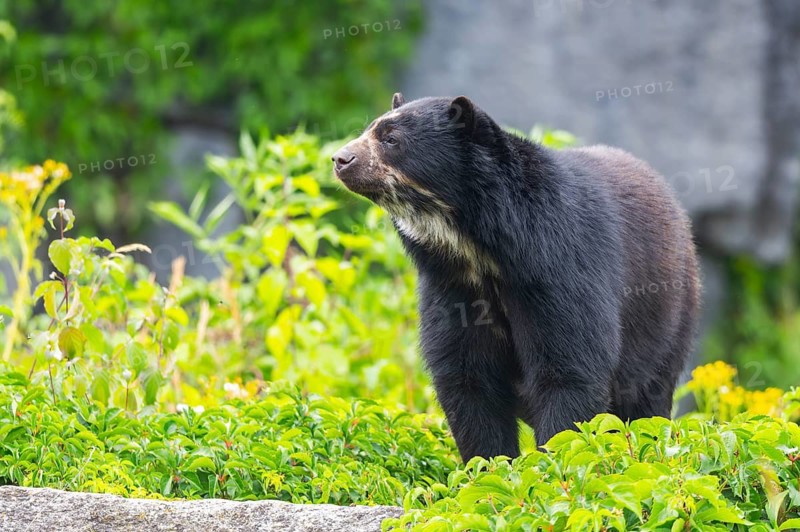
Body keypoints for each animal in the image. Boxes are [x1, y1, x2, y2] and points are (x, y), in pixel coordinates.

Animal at [332, 93, 700, 462]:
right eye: (370, 129)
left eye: (391, 139)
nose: (340, 158)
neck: (478, 249)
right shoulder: (450, 287)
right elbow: (467, 379)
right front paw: (489, 464)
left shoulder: (560, 266)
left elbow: (568, 368)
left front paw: (551, 459)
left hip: (667, 318)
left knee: (646, 395)